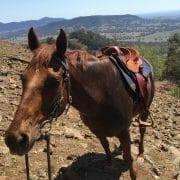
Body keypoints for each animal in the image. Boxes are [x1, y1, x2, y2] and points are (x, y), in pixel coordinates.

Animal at [5, 27, 155, 179]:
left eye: (55, 82)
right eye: (22, 77)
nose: (14, 139)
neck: (102, 97)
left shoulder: (124, 131)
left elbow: (128, 159)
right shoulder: (97, 130)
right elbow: (105, 145)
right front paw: (109, 163)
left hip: (145, 110)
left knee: (142, 129)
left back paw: (141, 153)